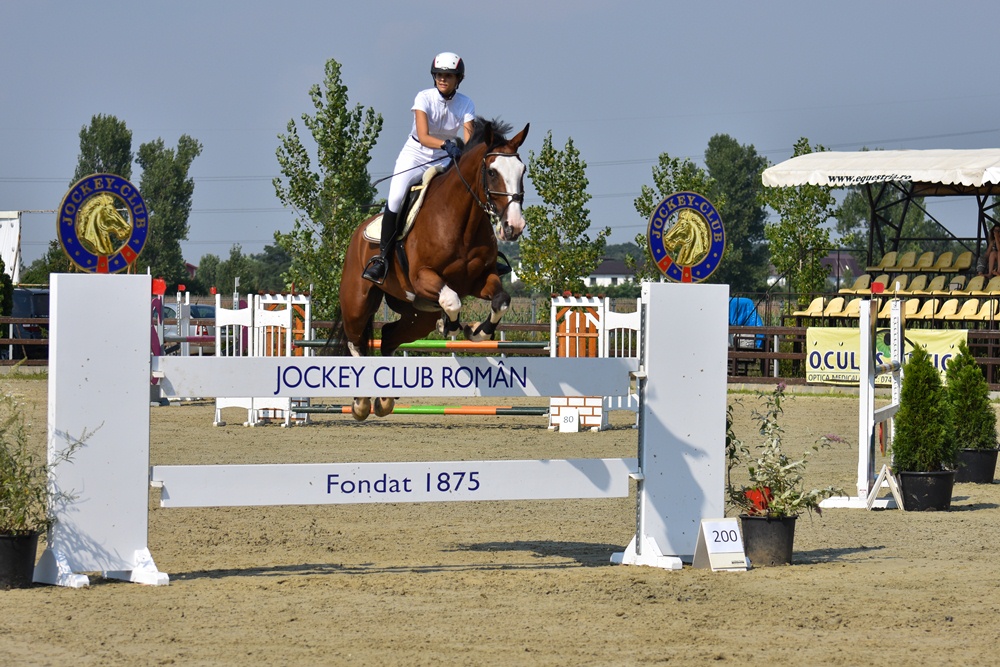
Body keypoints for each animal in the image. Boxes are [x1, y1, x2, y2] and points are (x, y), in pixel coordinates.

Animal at [337, 118, 530, 421]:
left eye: (522, 171)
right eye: (491, 171)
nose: (514, 227)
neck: (461, 220)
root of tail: (357, 233)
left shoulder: (481, 280)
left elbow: (501, 301)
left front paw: (475, 330)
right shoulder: (423, 278)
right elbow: (451, 300)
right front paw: (451, 325)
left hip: (417, 316)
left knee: (389, 337)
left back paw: (385, 400)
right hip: (357, 301)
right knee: (355, 342)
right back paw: (361, 403)